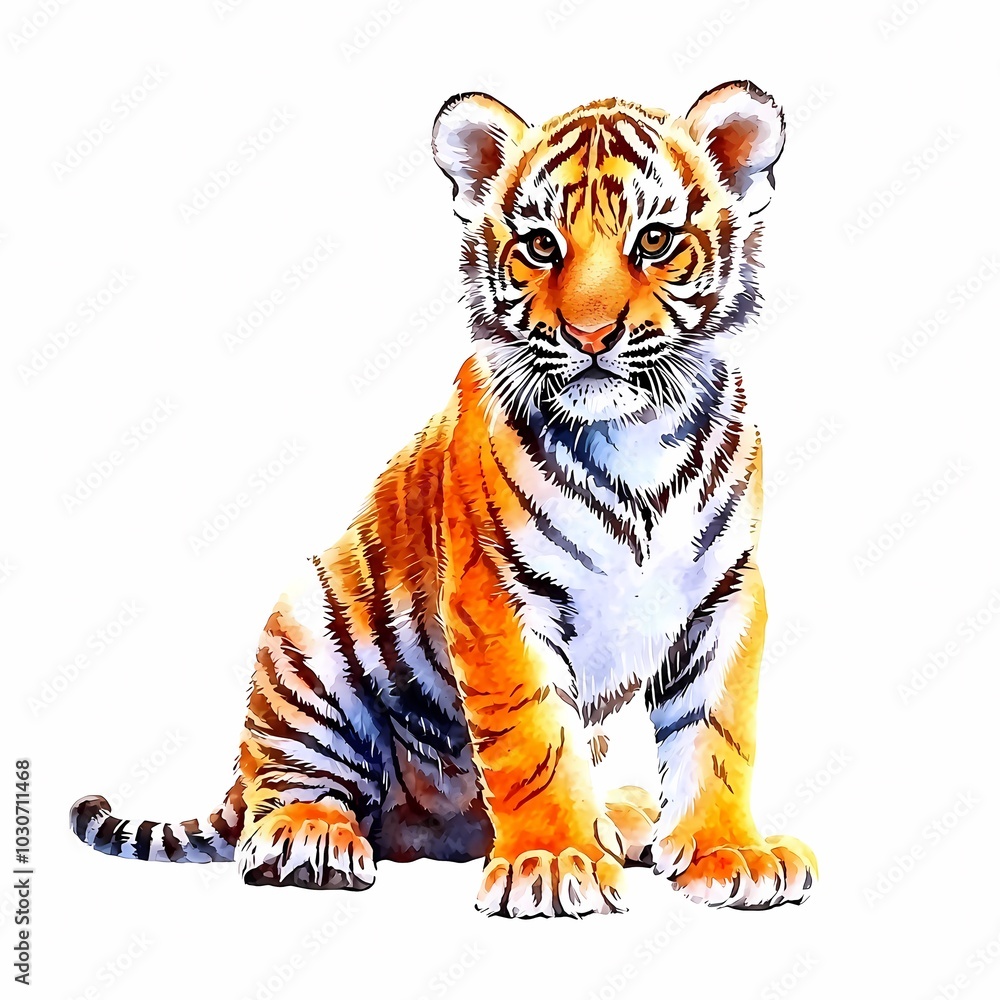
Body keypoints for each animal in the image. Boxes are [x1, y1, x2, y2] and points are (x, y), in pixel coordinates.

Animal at [71, 81, 817, 917]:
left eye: (655, 242)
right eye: (541, 247)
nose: (591, 335)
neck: (635, 435)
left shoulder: (725, 595)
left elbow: (717, 735)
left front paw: (730, 853)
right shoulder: (498, 596)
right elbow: (534, 740)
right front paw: (552, 863)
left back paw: (621, 816)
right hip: (305, 637)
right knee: (289, 788)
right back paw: (312, 838)